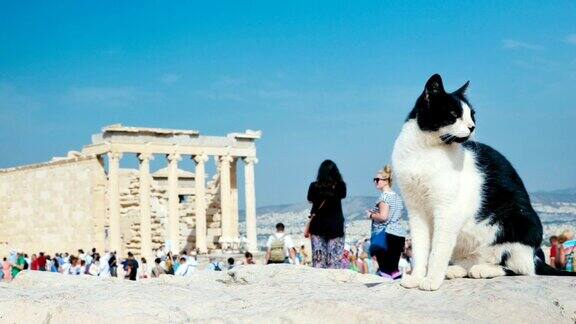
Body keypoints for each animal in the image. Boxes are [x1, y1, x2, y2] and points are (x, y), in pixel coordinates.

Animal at [390, 75, 572, 292]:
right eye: (454, 114)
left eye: (472, 115)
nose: (472, 127)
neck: (425, 151)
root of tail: (536, 255)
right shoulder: (416, 210)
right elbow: (420, 248)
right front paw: (417, 278)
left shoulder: (447, 210)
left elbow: (437, 250)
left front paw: (432, 280)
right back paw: (457, 270)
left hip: (521, 225)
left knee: (520, 268)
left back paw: (483, 269)